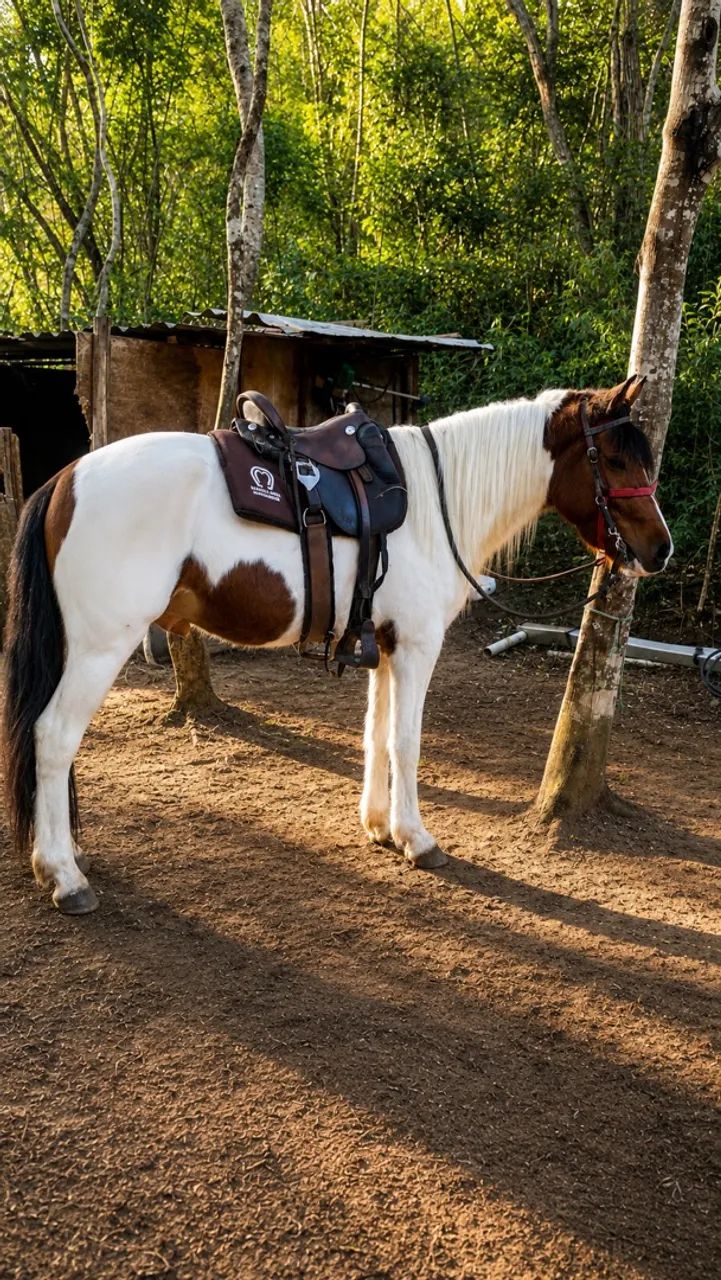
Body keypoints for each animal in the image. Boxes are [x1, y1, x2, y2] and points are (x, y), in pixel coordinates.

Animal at [2, 375, 672, 914]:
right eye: (615, 459)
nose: (661, 550)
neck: (434, 503)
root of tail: (65, 479)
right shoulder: (417, 646)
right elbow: (406, 741)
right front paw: (416, 839)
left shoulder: (383, 645)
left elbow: (376, 734)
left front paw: (378, 826)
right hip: (98, 647)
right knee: (53, 737)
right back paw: (64, 877)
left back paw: (66, 857)